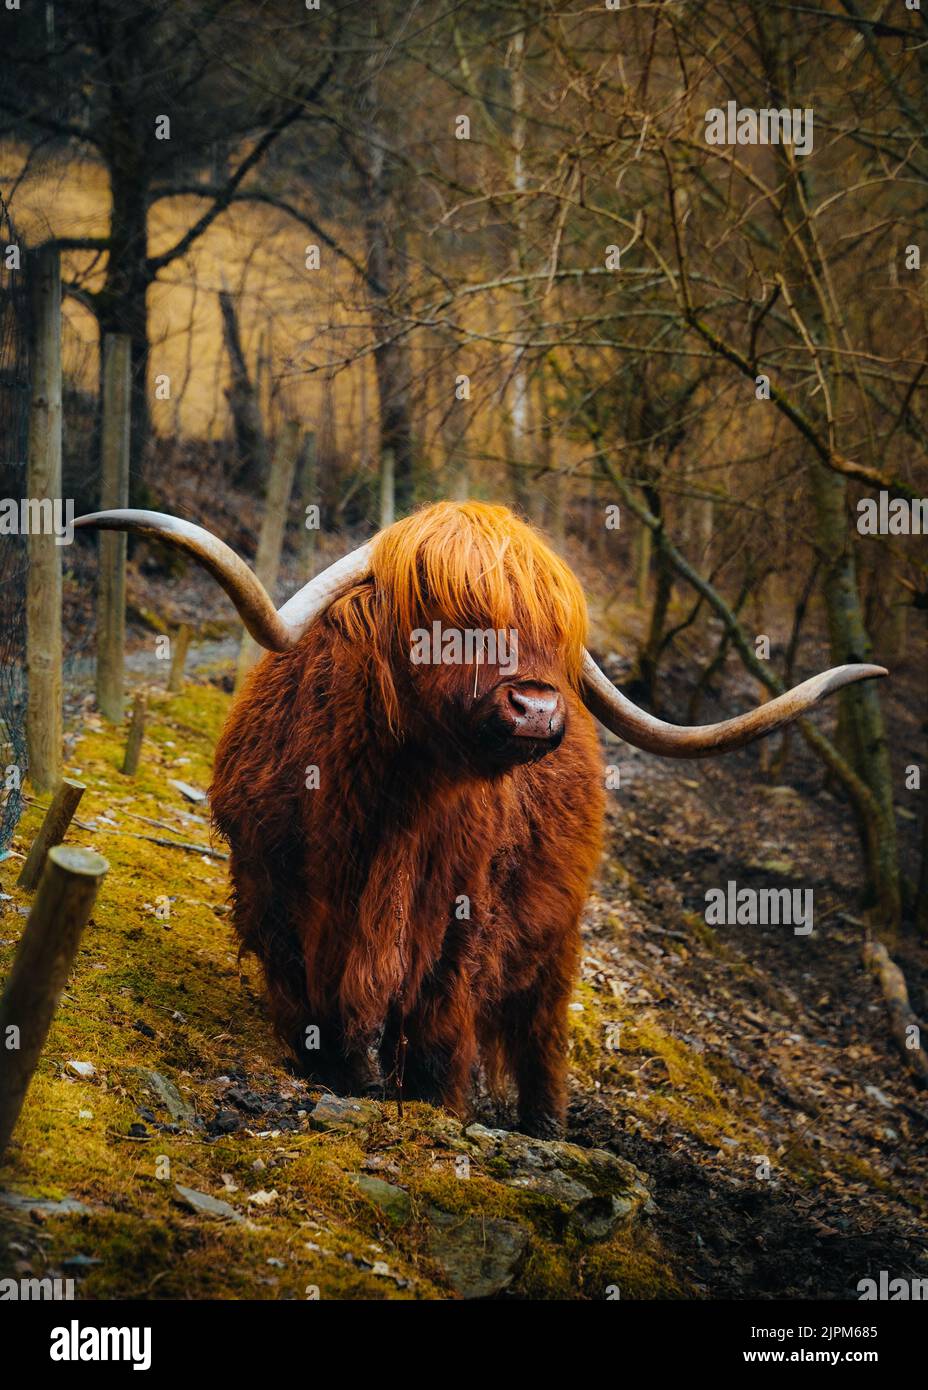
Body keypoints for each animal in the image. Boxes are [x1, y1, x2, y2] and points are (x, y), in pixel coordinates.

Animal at [74, 501, 885, 1136]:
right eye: (448, 616)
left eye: (553, 631)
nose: (537, 707)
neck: (394, 810)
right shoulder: (274, 894)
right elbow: (310, 1003)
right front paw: (339, 1074)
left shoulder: (464, 925)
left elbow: (440, 1033)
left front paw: (431, 1103)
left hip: (559, 938)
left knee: (542, 1040)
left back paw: (546, 1126)